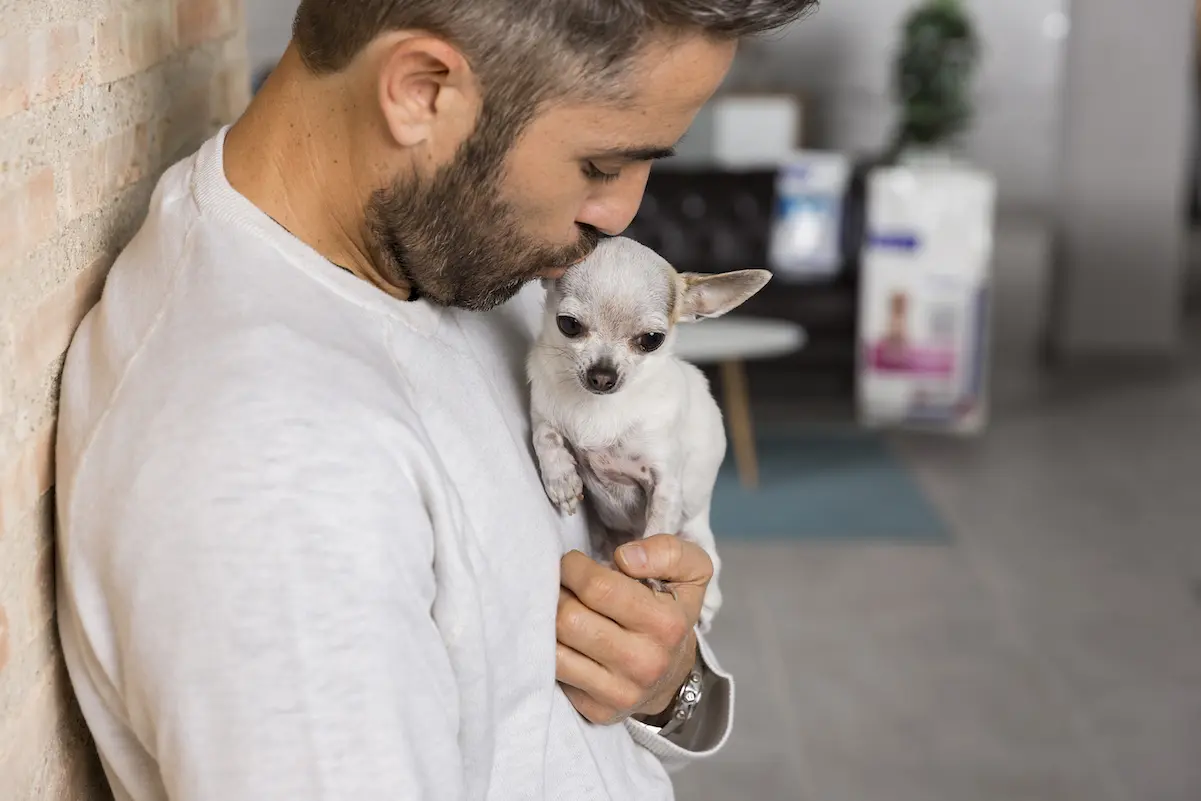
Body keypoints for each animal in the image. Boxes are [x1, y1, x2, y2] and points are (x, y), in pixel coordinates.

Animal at [526, 237, 768, 634]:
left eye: (651, 340)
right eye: (568, 325)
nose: (602, 375)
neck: (601, 410)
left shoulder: (665, 484)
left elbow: (655, 532)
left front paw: (650, 574)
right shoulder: (543, 409)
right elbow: (545, 434)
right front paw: (561, 478)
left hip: (695, 535)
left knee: (712, 571)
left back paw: (707, 607)